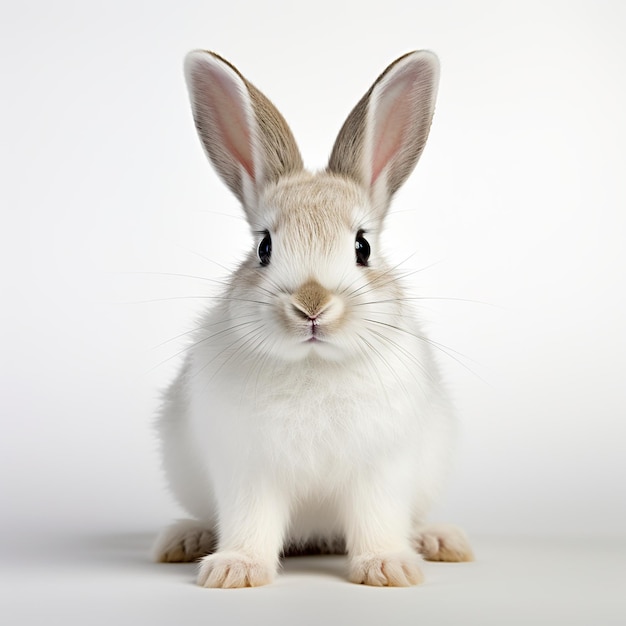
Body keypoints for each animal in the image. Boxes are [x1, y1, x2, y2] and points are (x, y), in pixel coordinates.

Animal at [154, 48, 470, 584]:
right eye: (264, 247)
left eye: (363, 247)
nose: (312, 305)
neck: (313, 366)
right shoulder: (249, 471)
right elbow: (251, 523)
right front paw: (235, 571)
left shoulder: (380, 469)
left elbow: (378, 520)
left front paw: (388, 568)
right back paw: (184, 539)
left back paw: (440, 541)